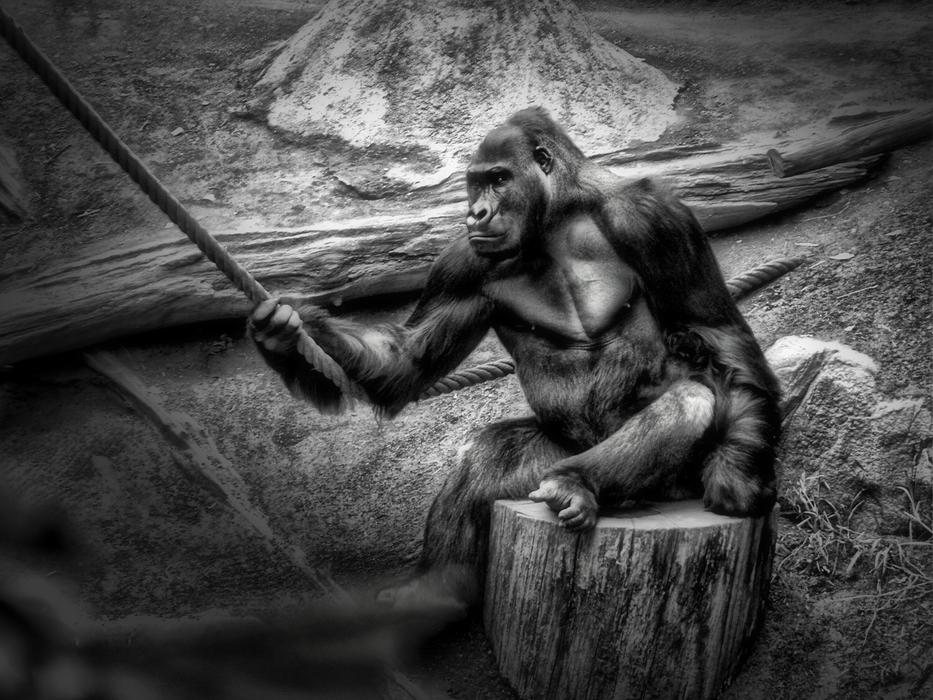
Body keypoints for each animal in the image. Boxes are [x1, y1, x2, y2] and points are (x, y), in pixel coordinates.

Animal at [250, 106, 781, 611]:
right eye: (475, 182)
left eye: (499, 178)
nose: (477, 212)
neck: (558, 217)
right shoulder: (462, 262)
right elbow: (409, 359)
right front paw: (284, 333)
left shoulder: (656, 218)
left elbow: (716, 332)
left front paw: (739, 470)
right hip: (545, 464)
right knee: (488, 460)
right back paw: (435, 589)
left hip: (665, 486)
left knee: (691, 400)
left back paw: (577, 482)